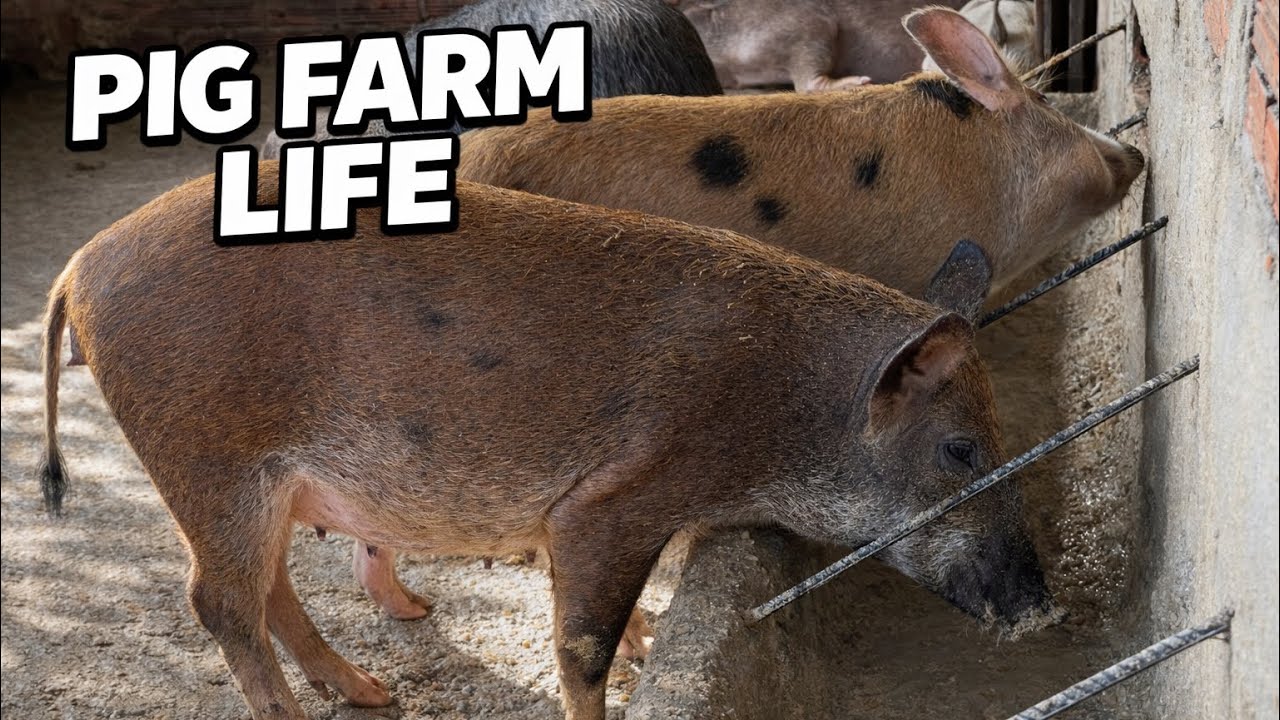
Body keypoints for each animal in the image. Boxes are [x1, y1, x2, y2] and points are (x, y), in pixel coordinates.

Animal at [39, 169, 1050, 720]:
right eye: (962, 451)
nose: (1041, 608)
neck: (776, 405)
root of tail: (78, 267)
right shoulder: (612, 499)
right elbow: (582, 645)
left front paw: (651, 638)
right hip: (209, 460)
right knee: (217, 603)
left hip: (254, 485)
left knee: (269, 591)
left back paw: (372, 693)